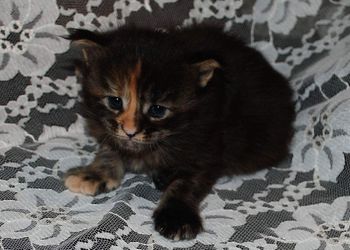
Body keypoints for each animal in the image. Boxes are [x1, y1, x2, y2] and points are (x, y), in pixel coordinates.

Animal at [63, 25, 296, 240]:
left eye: (158, 110)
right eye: (114, 101)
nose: (130, 131)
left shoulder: (207, 141)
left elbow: (188, 182)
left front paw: (176, 216)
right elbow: (109, 148)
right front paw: (95, 173)